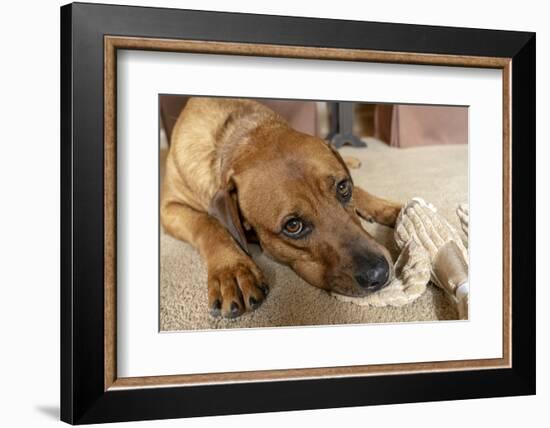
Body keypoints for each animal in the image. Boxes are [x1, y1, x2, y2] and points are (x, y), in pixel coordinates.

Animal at [162, 97, 404, 318]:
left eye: (343, 188)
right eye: (293, 226)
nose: (379, 274)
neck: (238, 135)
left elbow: (361, 191)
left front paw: (393, 209)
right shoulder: (168, 208)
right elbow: (207, 223)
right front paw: (231, 270)